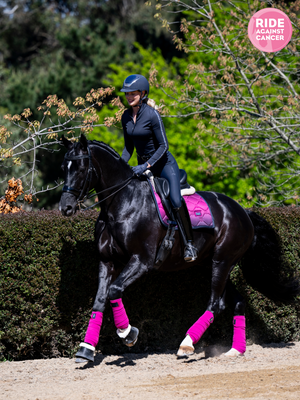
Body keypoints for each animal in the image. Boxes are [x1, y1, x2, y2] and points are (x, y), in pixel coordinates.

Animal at [59, 134, 300, 362]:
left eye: (81, 168)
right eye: (63, 168)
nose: (65, 207)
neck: (123, 203)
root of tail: (243, 212)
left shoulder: (141, 261)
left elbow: (114, 290)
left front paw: (128, 333)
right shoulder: (107, 261)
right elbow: (99, 300)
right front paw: (86, 349)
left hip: (222, 261)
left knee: (215, 303)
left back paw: (186, 344)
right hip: (213, 264)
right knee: (237, 301)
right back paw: (235, 350)